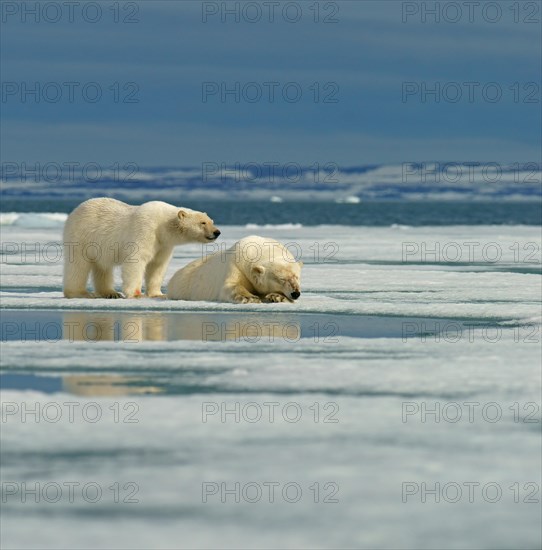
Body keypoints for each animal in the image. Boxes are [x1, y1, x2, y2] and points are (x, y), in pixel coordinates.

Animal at [61, 198, 219, 300]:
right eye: (202, 223)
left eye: (211, 221)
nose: (217, 232)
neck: (162, 225)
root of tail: (75, 210)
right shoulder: (145, 230)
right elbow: (136, 261)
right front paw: (137, 294)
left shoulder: (163, 244)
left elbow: (157, 266)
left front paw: (158, 293)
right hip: (82, 236)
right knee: (78, 266)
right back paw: (80, 293)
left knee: (102, 267)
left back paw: (110, 293)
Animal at [168, 237, 304, 306]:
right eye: (281, 279)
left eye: (297, 277)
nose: (295, 293)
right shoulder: (236, 265)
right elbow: (232, 286)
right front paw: (251, 298)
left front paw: (277, 297)